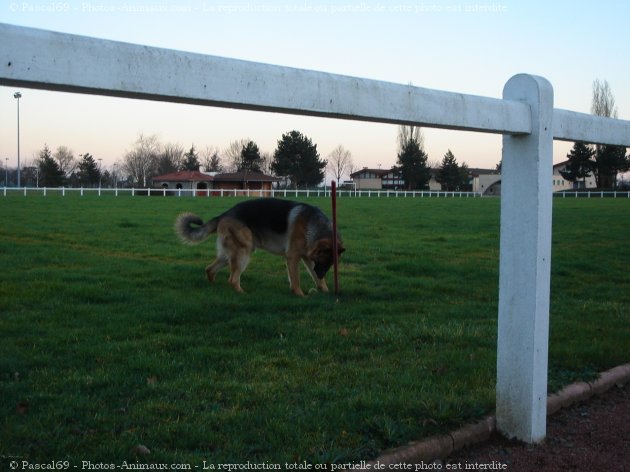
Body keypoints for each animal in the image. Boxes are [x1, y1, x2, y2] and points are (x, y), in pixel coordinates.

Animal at [177, 198, 346, 296]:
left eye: (331, 264)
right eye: (325, 260)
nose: (321, 273)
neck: (313, 225)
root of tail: (224, 215)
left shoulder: (308, 259)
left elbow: (317, 280)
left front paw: (325, 291)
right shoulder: (293, 257)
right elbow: (296, 280)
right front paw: (300, 295)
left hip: (228, 255)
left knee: (210, 269)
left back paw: (214, 287)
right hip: (243, 253)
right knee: (232, 279)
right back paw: (242, 293)